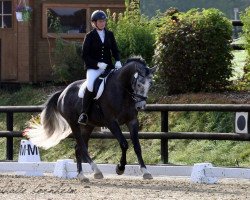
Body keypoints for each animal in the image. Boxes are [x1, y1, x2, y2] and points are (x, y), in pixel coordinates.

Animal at [26, 56, 156, 181]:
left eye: (150, 85)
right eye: (139, 84)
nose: (140, 106)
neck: (122, 90)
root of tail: (62, 92)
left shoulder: (132, 121)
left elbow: (137, 147)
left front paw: (145, 171)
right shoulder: (111, 122)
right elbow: (124, 144)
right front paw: (120, 168)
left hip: (88, 126)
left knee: (78, 148)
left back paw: (82, 175)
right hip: (73, 124)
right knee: (82, 147)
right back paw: (94, 172)